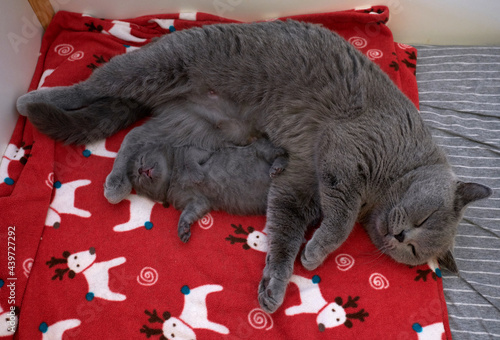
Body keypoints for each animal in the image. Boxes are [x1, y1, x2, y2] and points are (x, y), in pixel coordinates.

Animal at [103, 130, 288, 244]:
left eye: (141, 159)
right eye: (136, 176)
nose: (141, 170)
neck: (173, 175)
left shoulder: (200, 151)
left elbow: (189, 159)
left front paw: (197, 175)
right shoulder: (197, 201)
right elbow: (189, 213)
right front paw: (183, 229)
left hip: (261, 149)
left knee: (283, 153)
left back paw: (278, 167)